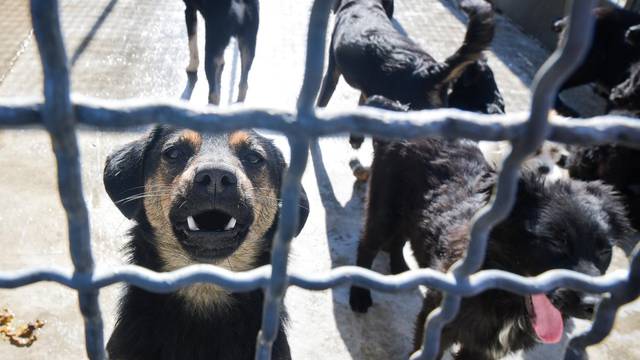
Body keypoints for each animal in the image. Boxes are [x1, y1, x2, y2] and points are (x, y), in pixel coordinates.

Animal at [348, 96, 632, 360]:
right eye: (555, 242)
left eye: (605, 251)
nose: (592, 305)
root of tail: (405, 112)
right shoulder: (437, 325)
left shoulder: (481, 348)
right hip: (384, 211)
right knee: (367, 246)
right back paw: (359, 294)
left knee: (399, 239)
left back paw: (399, 268)